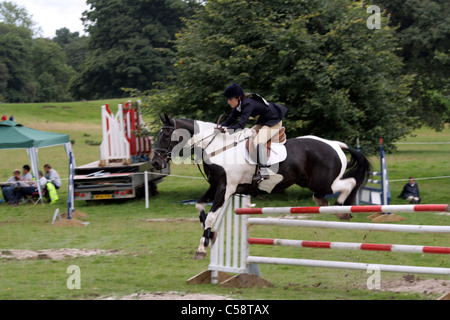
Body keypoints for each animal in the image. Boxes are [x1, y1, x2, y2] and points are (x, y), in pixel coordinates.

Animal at [153, 114, 370, 258]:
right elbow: (200, 208)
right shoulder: (215, 186)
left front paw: (201, 247)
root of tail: (335, 144)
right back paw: (332, 208)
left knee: (348, 184)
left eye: (166, 135)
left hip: (323, 181)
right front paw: (209, 236)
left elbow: (212, 216)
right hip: (312, 183)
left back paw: (342, 209)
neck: (216, 147)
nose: (155, 163)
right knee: (324, 194)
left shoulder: (226, 188)